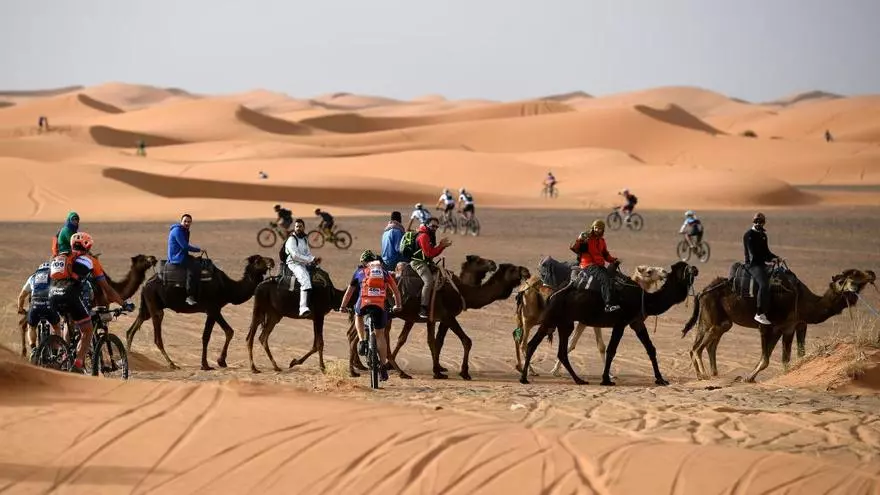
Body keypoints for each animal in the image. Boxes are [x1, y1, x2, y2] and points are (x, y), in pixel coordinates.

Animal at [17, 254, 158, 357]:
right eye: (143, 258)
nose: (153, 258)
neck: (114, 286)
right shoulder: (103, 304)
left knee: (27, 321)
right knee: (27, 321)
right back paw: (27, 351)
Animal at [125, 254, 275, 370]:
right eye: (258, 260)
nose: (272, 261)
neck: (227, 287)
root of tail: (145, 284)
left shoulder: (212, 311)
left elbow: (218, 334)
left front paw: (216, 362)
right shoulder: (213, 309)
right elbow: (219, 333)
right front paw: (210, 364)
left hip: (148, 304)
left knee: (132, 328)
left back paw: (129, 357)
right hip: (154, 303)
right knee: (157, 335)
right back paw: (172, 364)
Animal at [346, 258, 529, 380]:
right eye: (513, 269)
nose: (526, 271)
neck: (462, 291)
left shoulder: (432, 318)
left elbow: (432, 341)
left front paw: (438, 370)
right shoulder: (447, 316)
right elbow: (466, 341)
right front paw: (463, 372)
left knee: (357, 335)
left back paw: (363, 369)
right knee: (358, 336)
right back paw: (362, 370)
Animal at [520, 261, 699, 386]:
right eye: (686, 269)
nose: (696, 268)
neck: (645, 298)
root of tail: (553, 293)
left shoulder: (636, 322)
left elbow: (651, 349)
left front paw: (661, 379)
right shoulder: (621, 322)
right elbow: (611, 350)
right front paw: (606, 379)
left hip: (564, 322)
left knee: (557, 350)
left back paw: (578, 379)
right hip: (552, 318)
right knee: (534, 344)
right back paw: (525, 378)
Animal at [682, 267, 876, 381]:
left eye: (860, 276)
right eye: (844, 280)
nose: (871, 273)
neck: (803, 301)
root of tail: (702, 291)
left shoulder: (791, 327)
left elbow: (790, 358)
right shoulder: (768, 326)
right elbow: (766, 359)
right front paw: (748, 378)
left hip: (717, 320)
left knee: (707, 344)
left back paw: (710, 374)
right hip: (713, 318)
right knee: (697, 347)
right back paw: (703, 375)